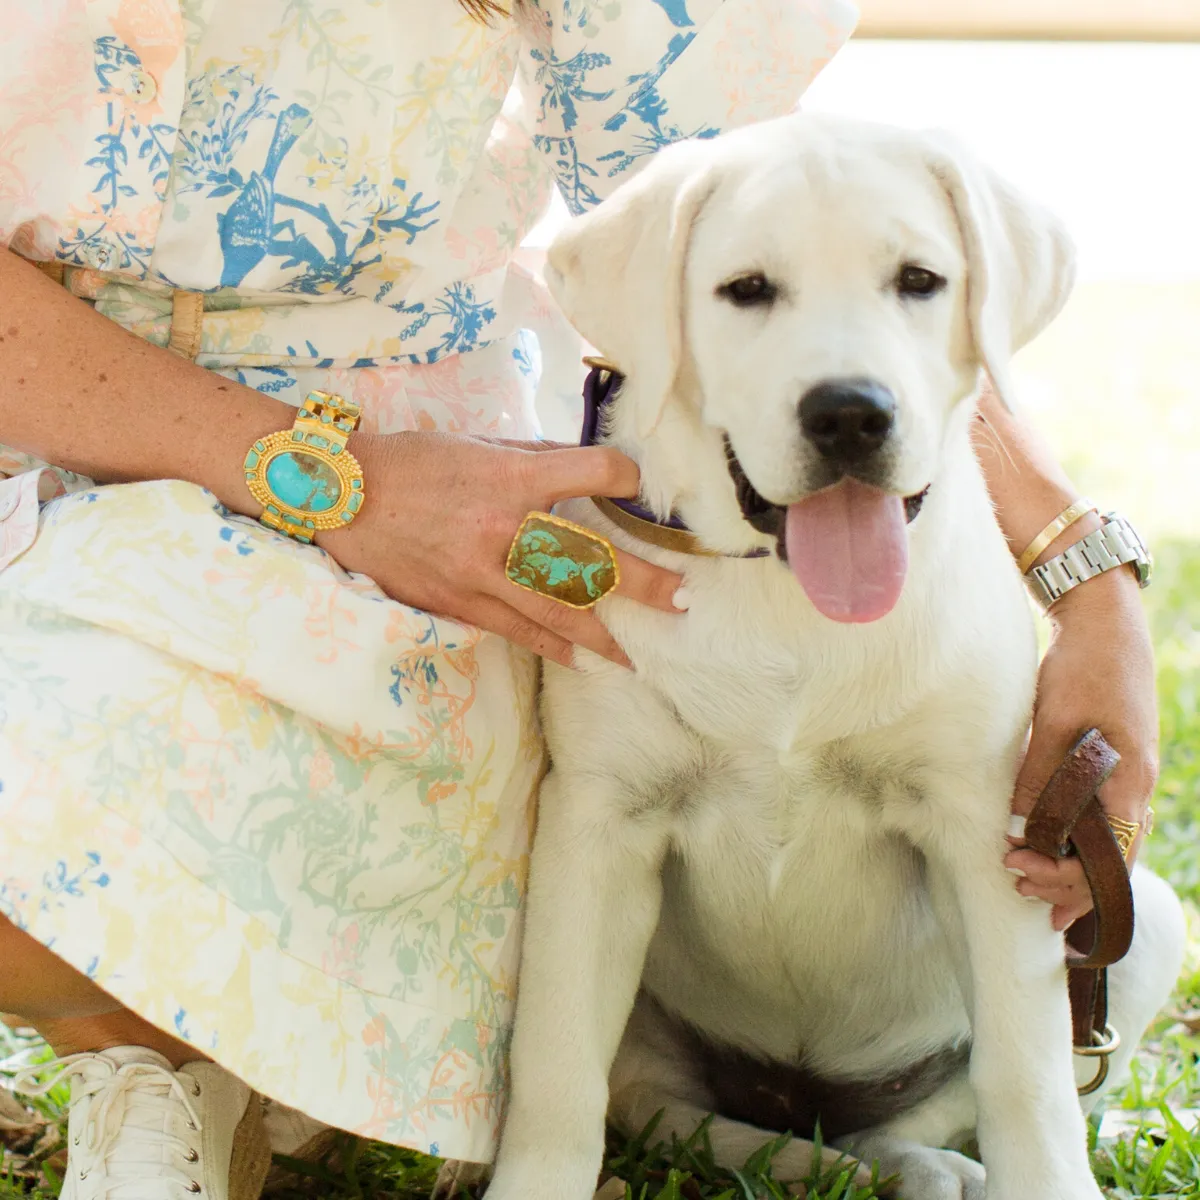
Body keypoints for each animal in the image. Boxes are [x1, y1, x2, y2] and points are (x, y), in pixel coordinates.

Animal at [472, 114, 1185, 1200]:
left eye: (920, 280)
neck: (788, 603)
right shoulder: (598, 823)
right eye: (747, 290)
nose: (850, 412)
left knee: (937, 1106)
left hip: (1129, 912)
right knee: (659, 1103)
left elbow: (1025, 1082)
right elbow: (556, 1073)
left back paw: (927, 1166)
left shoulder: (990, 832)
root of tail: (794, 1100)